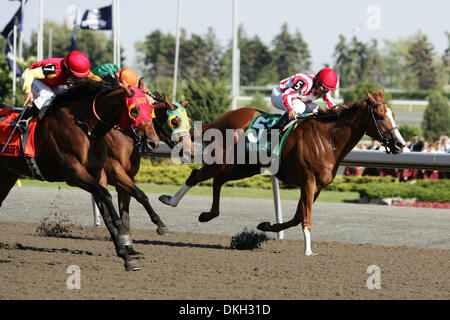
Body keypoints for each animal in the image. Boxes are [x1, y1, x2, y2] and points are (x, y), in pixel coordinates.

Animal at [0, 77, 159, 270]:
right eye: (134, 110)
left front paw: (126, 255)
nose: (153, 143)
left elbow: (109, 207)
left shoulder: (98, 174)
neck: (88, 129)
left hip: (7, 175)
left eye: (150, 108)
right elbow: (108, 197)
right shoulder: (76, 174)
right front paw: (124, 235)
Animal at [160, 89, 406, 255]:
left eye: (394, 115)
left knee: (217, 181)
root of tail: (221, 119)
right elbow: (305, 217)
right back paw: (170, 200)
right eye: (381, 116)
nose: (400, 144)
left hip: (243, 167)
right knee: (197, 176)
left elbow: (297, 216)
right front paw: (308, 250)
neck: (328, 139)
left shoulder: (316, 187)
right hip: (223, 161)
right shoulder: (308, 182)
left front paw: (266, 226)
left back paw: (208, 214)